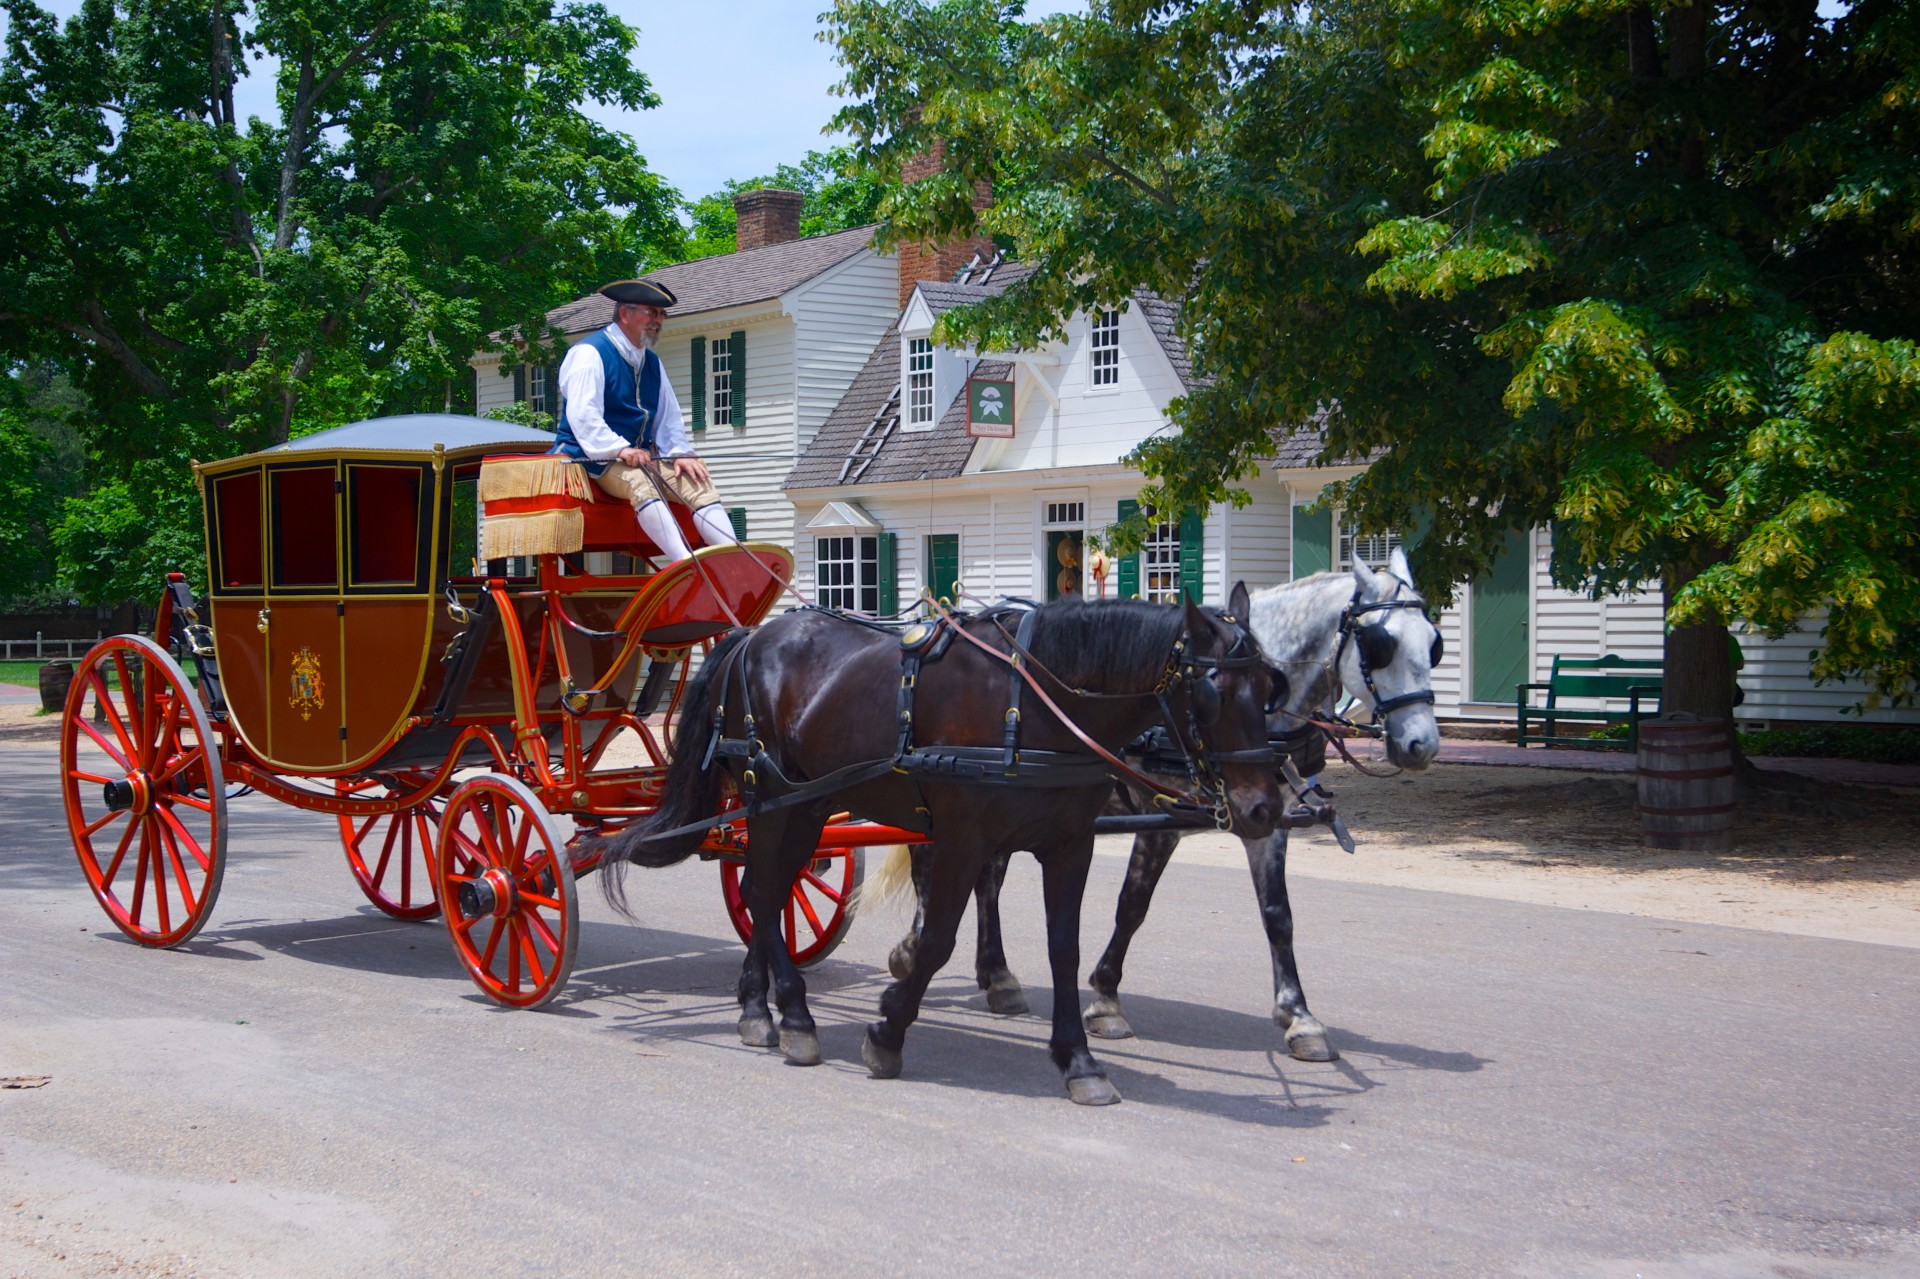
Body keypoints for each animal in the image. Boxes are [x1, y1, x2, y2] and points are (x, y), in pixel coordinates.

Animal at [595, 583, 1290, 1098]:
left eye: (1270, 687)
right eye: (1213, 693)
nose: (1264, 808)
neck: (1035, 703)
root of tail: (750, 635)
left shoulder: (1070, 843)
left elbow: (1063, 948)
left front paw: (1078, 1059)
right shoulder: (963, 835)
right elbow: (936, 942)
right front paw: (887, 1032)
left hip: (807, 803)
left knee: (765, 891)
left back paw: (755, 1008)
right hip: (765, 794)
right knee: (763, 891)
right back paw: (792, 1015)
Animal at [887, 549, 1443, 1052]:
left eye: (1433, 644)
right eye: (1381, 645)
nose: (1423, 744)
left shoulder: (1268, 820)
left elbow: (1277, 914)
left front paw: (1298, 1014)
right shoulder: (1162, 820)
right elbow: (1132, 905)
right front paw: (1106, 999)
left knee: (986, 879)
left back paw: (993, 974)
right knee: (940, 867)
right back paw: (923, 950)